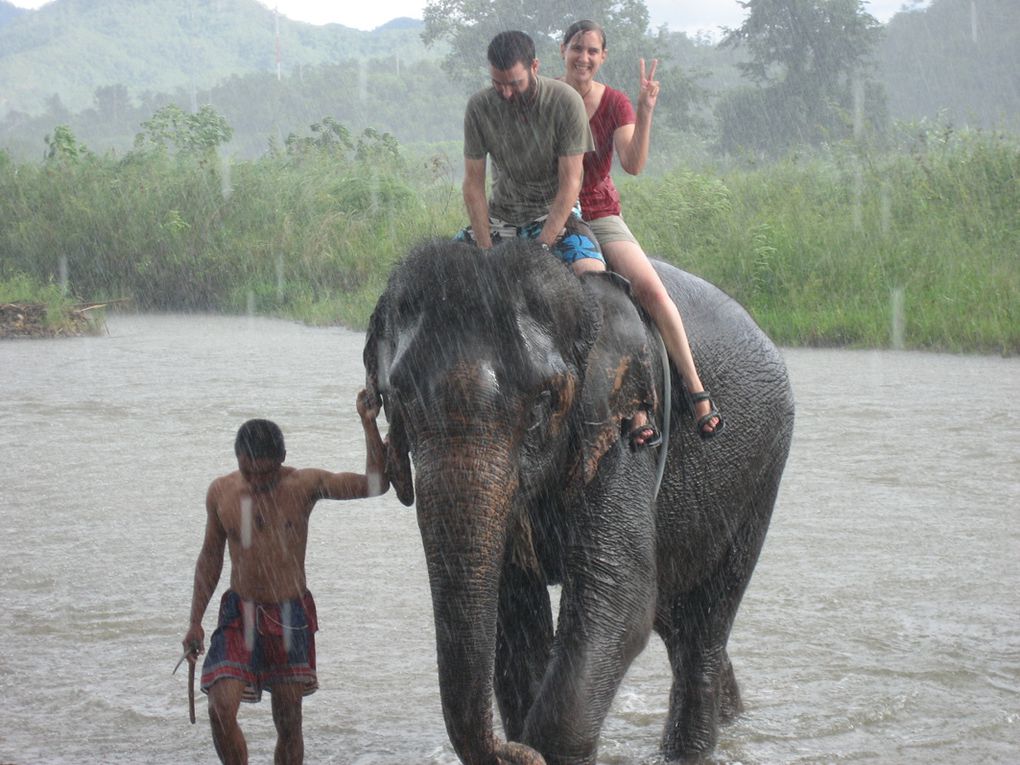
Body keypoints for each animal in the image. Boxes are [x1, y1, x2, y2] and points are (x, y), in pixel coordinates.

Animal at [363, 239, 791, 765]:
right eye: (398, 396)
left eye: (543, 403)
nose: (507, 748)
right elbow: (513, 608)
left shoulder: (624, 426)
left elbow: (620, 596)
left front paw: (541, 747)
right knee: (675, 617)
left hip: (762, 472)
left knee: (705, 624)